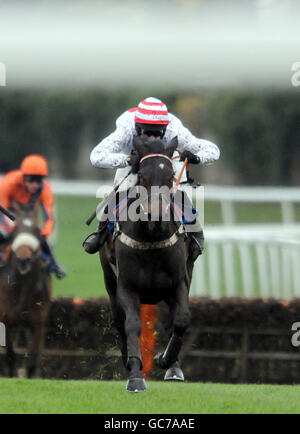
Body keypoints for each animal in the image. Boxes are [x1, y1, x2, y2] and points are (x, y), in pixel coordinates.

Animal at [0, 202, 51, 378]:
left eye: (37, 230)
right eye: (15, 229)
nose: (23, 260)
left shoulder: (38, 322)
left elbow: (33, 358)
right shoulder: (7, 321)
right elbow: (10, 356)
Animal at [99, 136, 196, 394]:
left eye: (170, 175)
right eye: (142, 175)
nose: (157, 215)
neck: (151, 237)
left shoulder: (179, 283)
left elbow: (181, 320)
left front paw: (166, 360)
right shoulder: (126, 287)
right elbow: (132, 325)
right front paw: (135, 374)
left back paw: (173, 366)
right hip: (110, 285)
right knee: (120, 322)